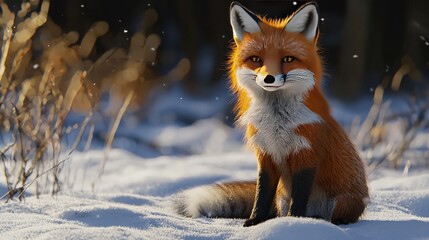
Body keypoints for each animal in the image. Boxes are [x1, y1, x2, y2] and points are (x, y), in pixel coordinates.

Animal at [174, 2, 368, 227]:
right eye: (256, 59)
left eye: (288, 59)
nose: (269, 78)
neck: (277, 123)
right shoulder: (266, 154)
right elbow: (262, 194)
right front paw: (255, 221)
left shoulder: (306, 154)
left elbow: (299, 196)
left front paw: (295, 221)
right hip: (281, 197)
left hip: (343, 201)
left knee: (337, 217)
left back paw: (320, 219)